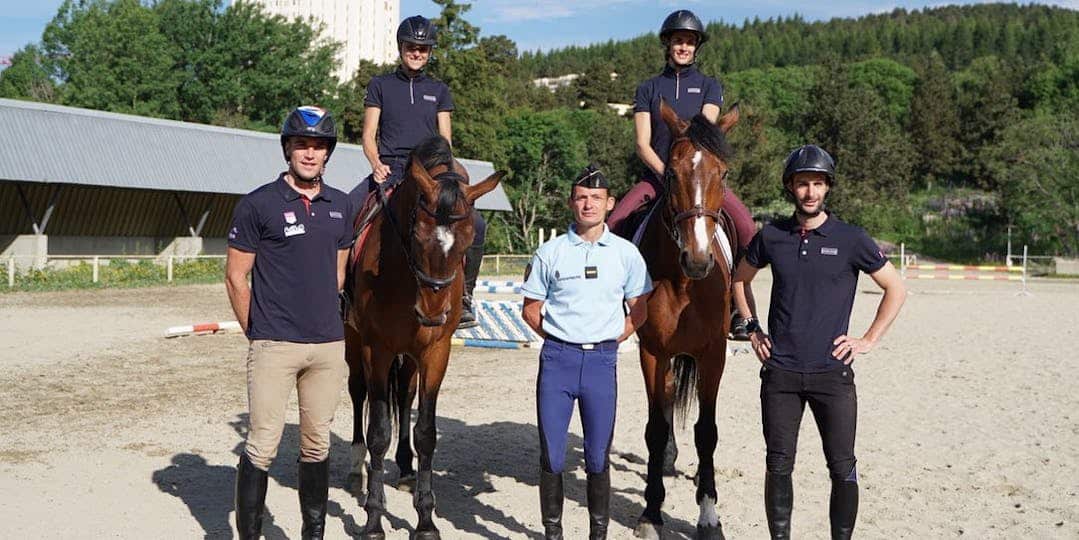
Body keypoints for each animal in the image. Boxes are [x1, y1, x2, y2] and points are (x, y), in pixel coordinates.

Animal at [343, 138, 502, 540]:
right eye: (416, 236)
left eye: (467, 242)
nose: (431, 314)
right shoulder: (376, 349)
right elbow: (378, 431)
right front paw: (373, 520)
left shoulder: (435, 352)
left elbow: (425, 432)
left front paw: (426, 520)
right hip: (354, 343)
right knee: (358, 393)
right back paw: (355, 469)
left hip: (410, 357)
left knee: (404, 394)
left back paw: (404, 469)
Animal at [630, 99, 742, 537]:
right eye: (671, 174)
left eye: (723, 173)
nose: (697, 259)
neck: (683, 283)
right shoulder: (653, 352)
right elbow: (655, 428)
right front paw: (650, 512)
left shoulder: (713, 355)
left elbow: (706, 432)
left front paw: (709, 515)